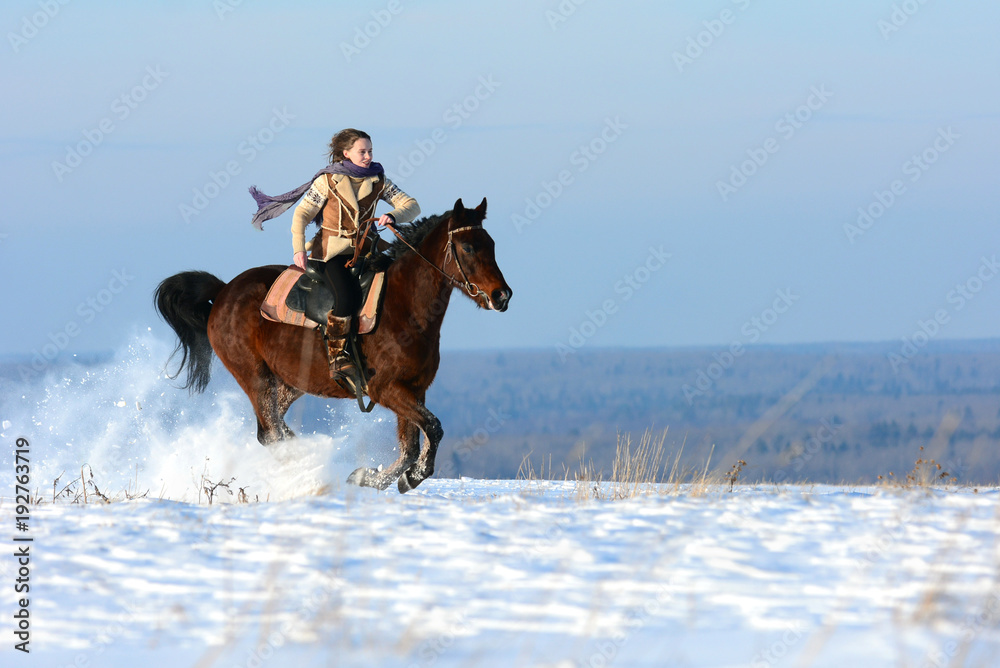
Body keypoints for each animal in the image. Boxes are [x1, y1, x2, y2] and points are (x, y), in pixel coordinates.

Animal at [154, 198, 511, 493]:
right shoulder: (386, 389)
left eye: (491, 244)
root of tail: (224, 291)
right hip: (255, 377)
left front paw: (370, 477)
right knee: (271, 432)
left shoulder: (414, 389)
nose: (502, 296)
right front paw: (410, 477)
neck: (404, 307)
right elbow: (432, 429)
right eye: (467, 247)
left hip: (289, 384)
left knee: (272, 430)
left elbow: (410, 446)